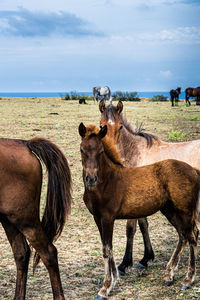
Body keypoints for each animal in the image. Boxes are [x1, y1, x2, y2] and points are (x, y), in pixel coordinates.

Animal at [79, 123, 200, 298]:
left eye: (101, 151)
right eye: (82, 149)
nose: (91, 178)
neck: (107, 182)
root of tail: (194, 170)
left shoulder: (108, 218)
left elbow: (107, 249)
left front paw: (105, 288)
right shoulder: (97, 218)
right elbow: (106, 248)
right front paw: (115, 279)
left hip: (185, 210)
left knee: (192, 236)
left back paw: (187, 280)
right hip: (169, 210)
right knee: (183, 235)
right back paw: (169, 275)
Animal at [99, 101, 200, 274]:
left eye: (120, 127)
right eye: (101, 125)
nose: (111, 153)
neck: (136, 153)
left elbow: (130, 229)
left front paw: (124, 264)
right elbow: (143, 225)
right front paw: (146, 258)